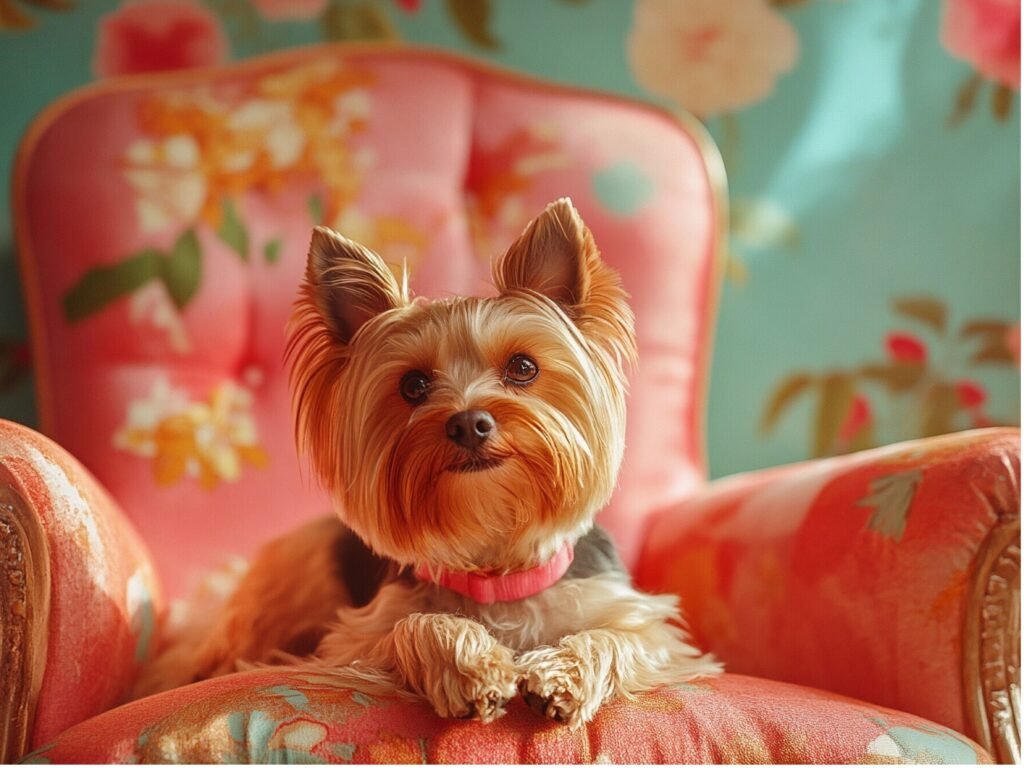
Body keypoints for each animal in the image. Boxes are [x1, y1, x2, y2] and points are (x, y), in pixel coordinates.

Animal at [136, 196, 720, 729]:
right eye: (413, 385)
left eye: (523, 367)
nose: (469, 423)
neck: (495, 571)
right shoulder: (356, 638)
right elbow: (416, 626)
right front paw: (472, 669)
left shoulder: (646, 625)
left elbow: (615, 636)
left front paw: (562, 675)